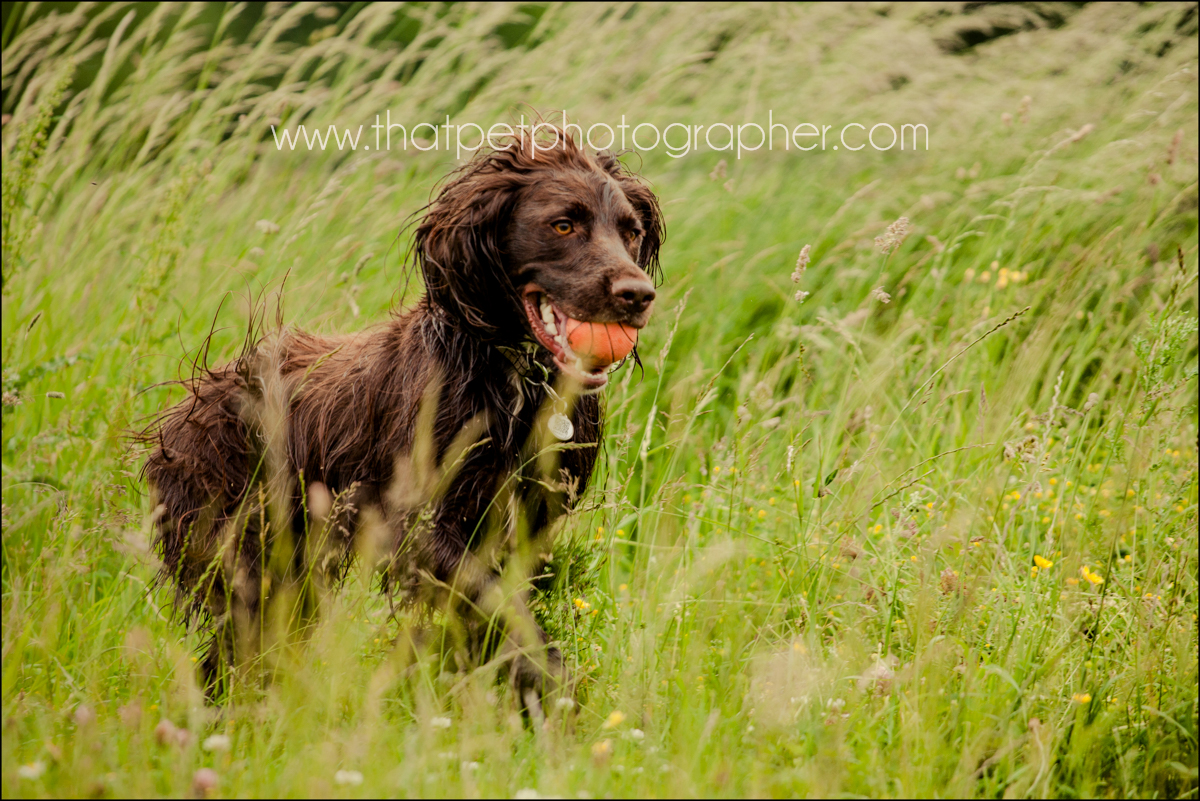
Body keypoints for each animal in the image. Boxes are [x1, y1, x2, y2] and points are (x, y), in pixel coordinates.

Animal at [140, 126, 662, 715]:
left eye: (632, 231)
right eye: (563, 225)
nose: (638, 295)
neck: (512, 378)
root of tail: (189, 405)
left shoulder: (524, 530)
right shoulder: (415, 525)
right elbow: (503, 615)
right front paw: (557, 699)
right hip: (249, 562)